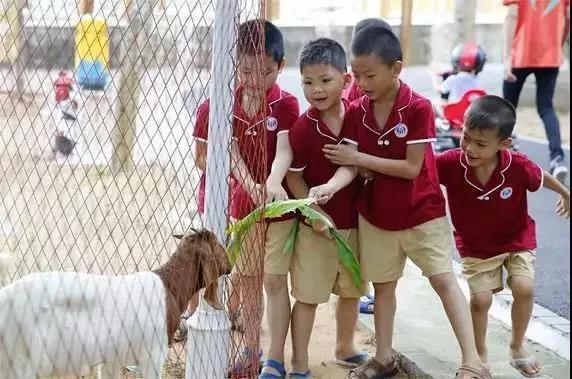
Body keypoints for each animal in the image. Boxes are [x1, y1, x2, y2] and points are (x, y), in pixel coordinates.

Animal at [0, 230, 228, 378]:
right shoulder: (153, 354)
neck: (169, 286)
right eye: (218, 245)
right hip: (19, 361)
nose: (230, 264)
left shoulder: (111, 358)